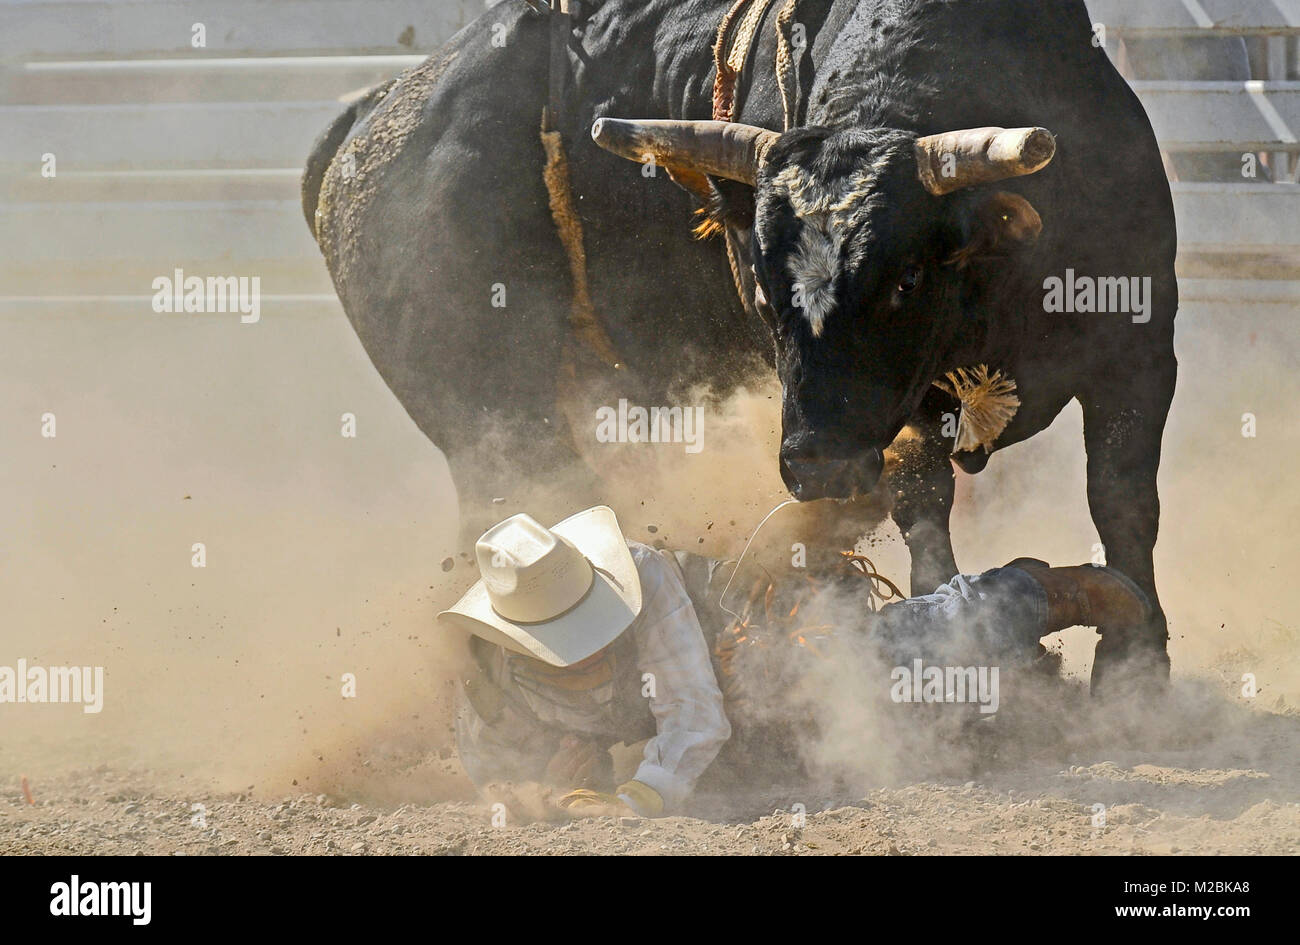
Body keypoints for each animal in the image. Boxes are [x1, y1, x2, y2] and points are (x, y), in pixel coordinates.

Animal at [303, 0, 1178, 697]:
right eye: (760, 287)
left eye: (904, 280)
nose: (818, 463)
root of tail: (373, 117)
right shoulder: (909, 414)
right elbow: (923, 502)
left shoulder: (1141, 355)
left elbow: (1122, 499)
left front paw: (1136, 666)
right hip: (491, 413)